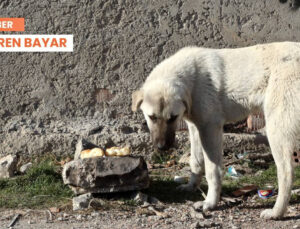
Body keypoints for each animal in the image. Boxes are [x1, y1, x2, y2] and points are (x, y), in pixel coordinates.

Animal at [132, 41, 300, 220]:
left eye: (172, 117)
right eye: (152, 117)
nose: (162, 147)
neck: (192, 78)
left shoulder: (210, 128)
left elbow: (213, 171)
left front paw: (210, 202)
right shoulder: (195, 128)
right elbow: (196, 162)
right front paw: (191, 186)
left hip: (276, 129)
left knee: (286, 172)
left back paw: (277, 211)